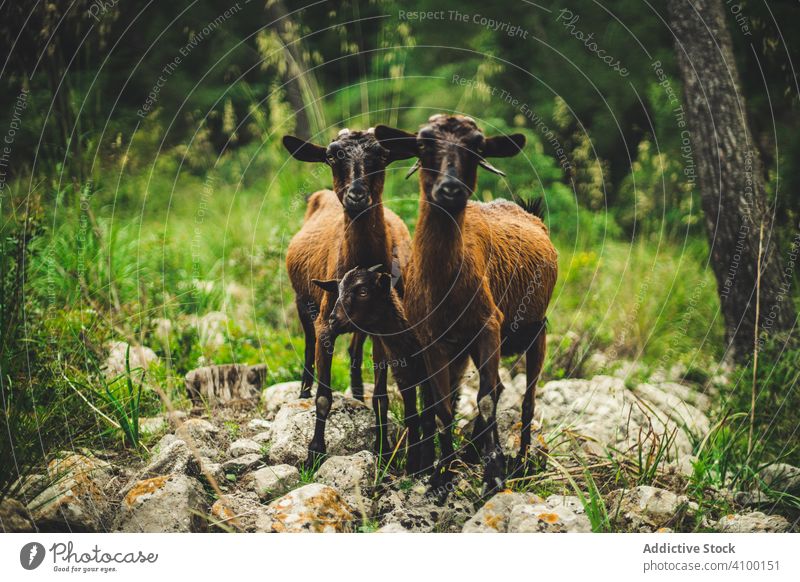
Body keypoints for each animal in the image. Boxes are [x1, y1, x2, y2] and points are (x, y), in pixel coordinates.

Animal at [282, 129, 416, 470]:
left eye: (382, 154)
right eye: (331, 155)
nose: (356, 196)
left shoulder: (386, 328)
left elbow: (381, 396)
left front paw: (384, 449)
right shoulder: (325, 323)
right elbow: (324, 396)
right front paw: (314, 452)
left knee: (356, 348)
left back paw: (356, 392)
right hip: (302, 302)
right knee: (307, 344)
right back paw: (303, 392)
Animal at [374, 116, 556, 496]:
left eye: (477, 146)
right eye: (423, 144)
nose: (450, 189)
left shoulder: (489, 325)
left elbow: (487, 398)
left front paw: (494, 475)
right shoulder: (433, 340)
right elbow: (443, 406)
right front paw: (440, 477)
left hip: (537, 330)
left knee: (528, 400)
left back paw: (521, 462)